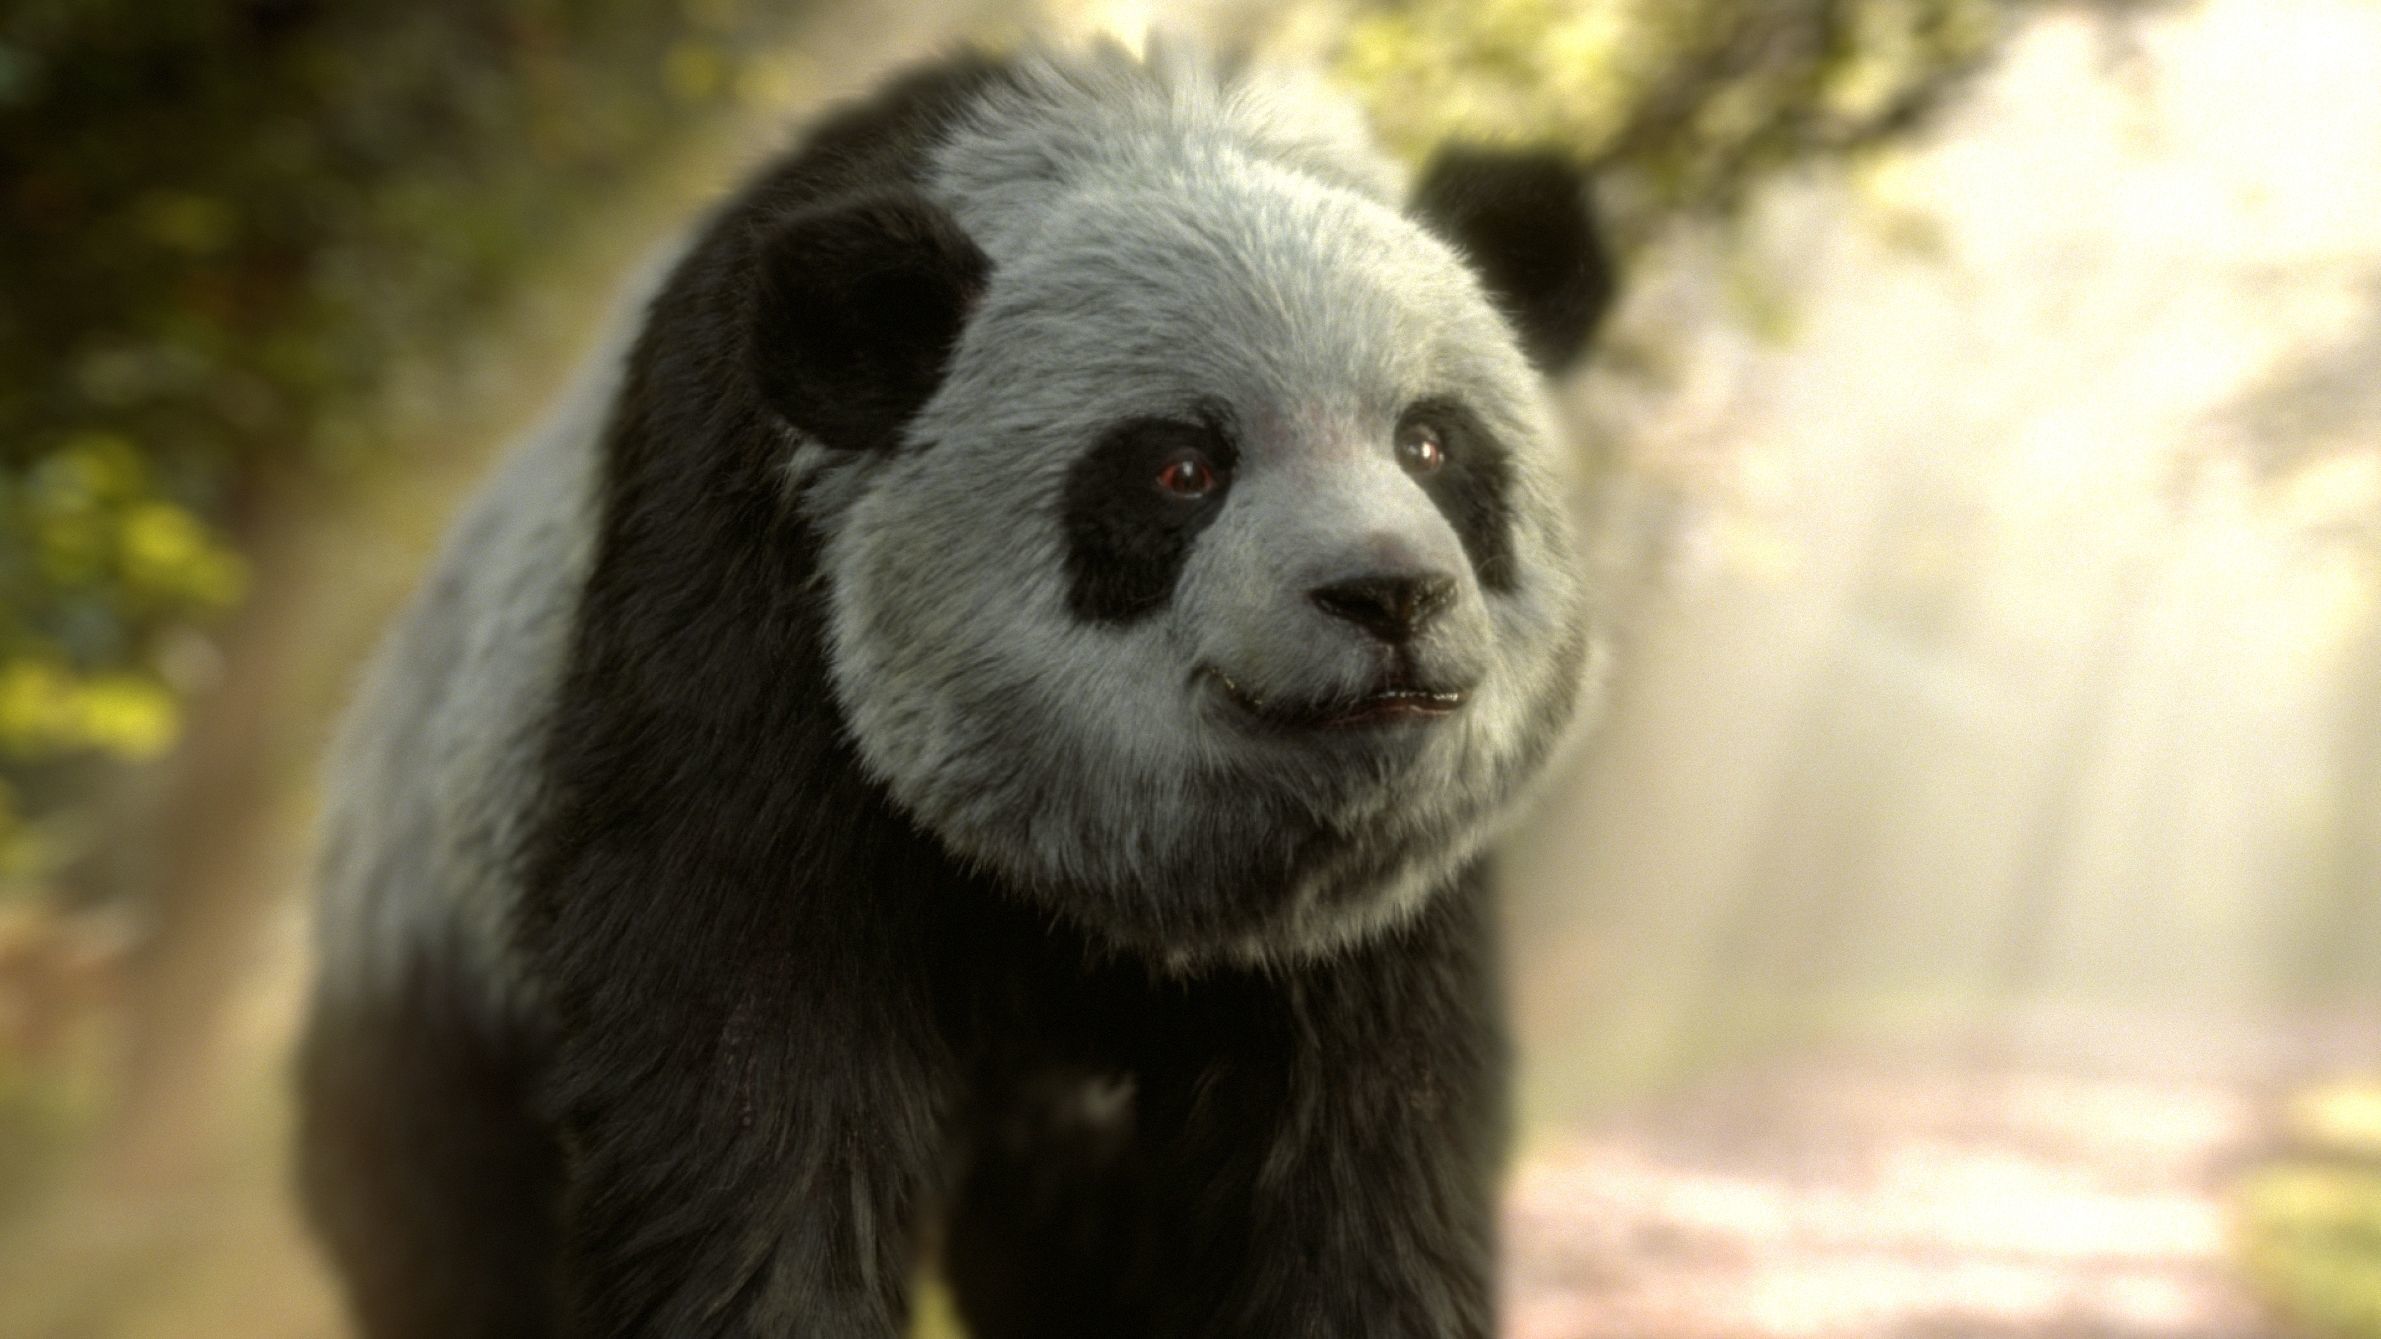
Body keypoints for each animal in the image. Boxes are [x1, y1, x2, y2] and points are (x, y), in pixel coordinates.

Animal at [298, 40, 1616, 1339]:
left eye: (1430, 445)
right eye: (1180, 469)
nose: (1385, 595)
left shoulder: (1367, 921)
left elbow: (1361, 1156)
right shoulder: (742, 617)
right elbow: (746, 1095)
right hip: (430, 949)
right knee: (451, 1222)